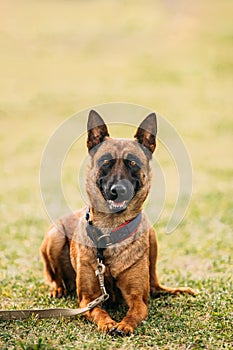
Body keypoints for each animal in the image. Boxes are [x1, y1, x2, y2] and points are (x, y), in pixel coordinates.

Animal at [40, 110, 195, 334]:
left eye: (133, 163)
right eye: (106, 162)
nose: (118, 190)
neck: (110, 230)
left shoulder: (138, 299)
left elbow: (135, 312)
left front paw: (124, 325)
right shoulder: (88, 299)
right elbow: (99, 311)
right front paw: (108, 323)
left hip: (152, 236)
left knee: (156, 285)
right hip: (56, 236)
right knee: (54, 276)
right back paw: (57, 289)